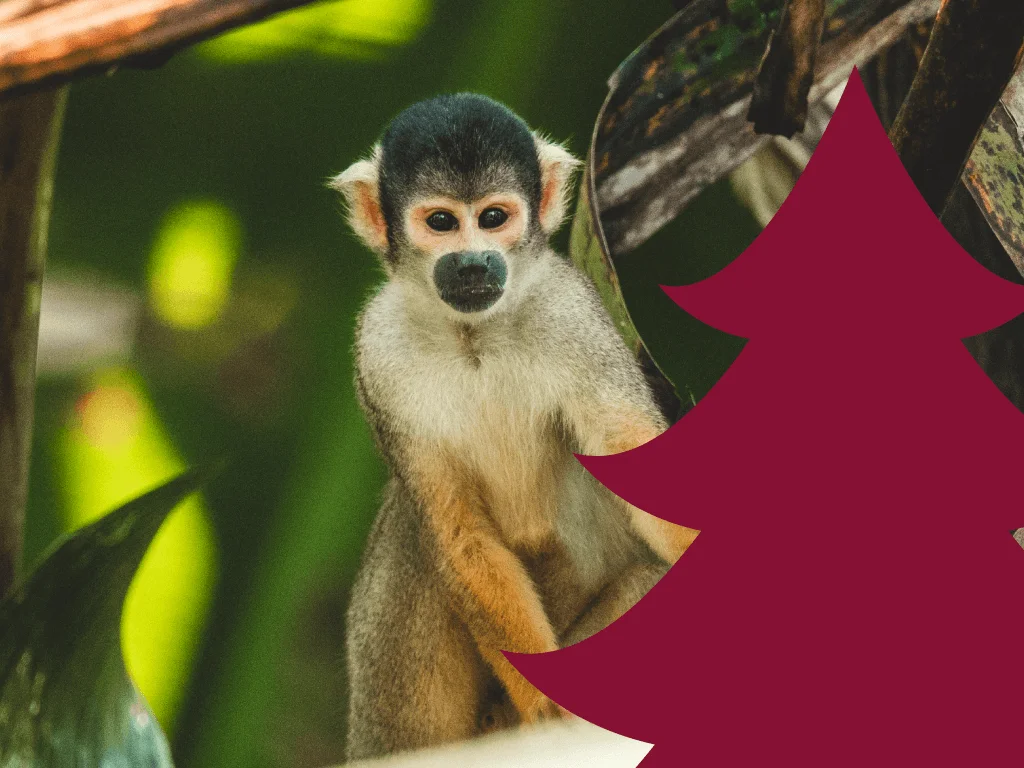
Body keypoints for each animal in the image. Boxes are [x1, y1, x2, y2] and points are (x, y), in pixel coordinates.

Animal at [331, 93, 698, 762]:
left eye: (494, 217)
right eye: (442, 222)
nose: (475, 262)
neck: (475, 334)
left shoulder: (573, 313)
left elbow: (636, 464)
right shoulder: (377, 351)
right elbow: (457, 532)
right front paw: (547, 705)